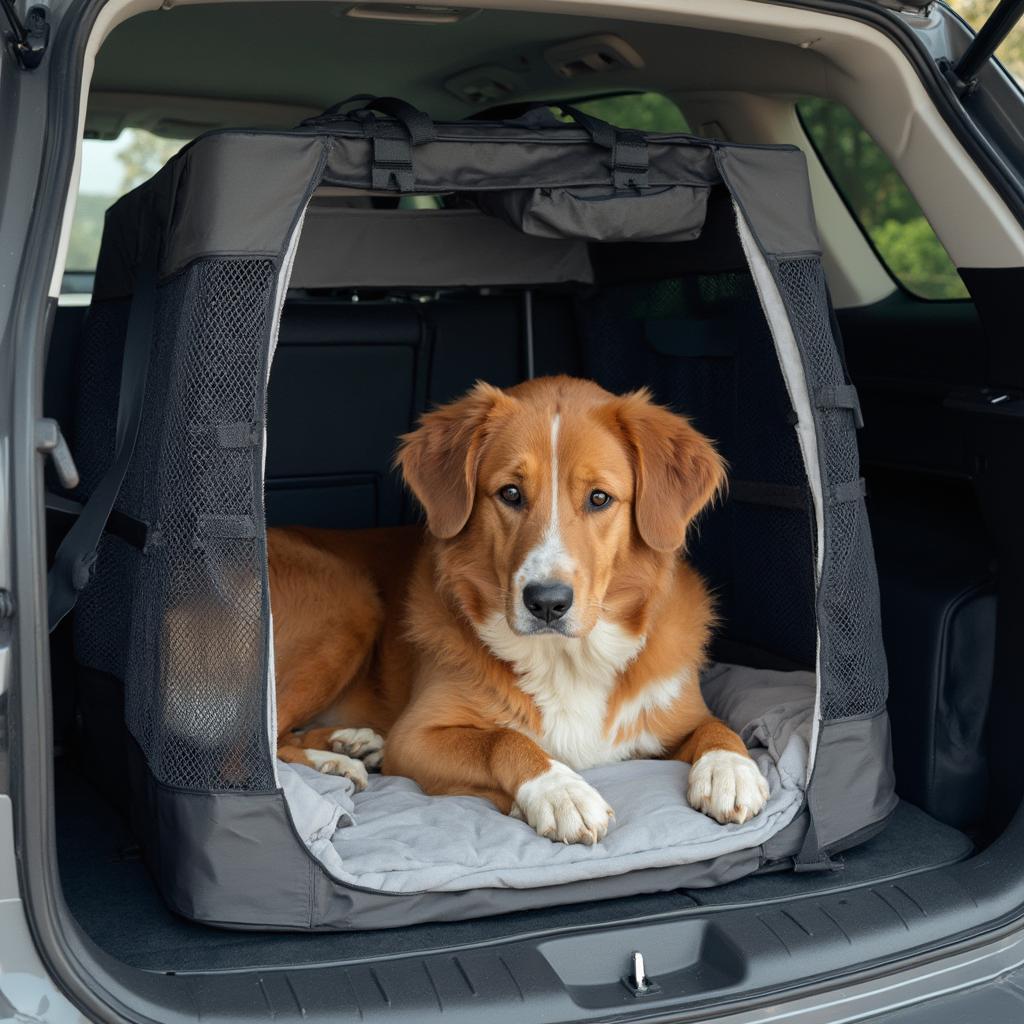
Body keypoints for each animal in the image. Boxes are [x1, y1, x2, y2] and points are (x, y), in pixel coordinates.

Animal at [268, 374, 765, 839]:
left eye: (599, 498)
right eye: (510, 493)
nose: (547, 602)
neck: (569, 659)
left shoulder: (679, 711)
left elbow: (718, 725)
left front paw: (730, 769)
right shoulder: (413, 737)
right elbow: (502, 740)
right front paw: (560, 790)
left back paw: (349, 742)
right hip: (350, 602)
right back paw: (334, 761)